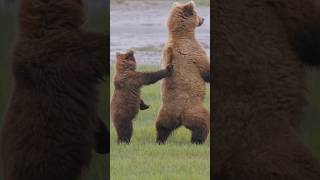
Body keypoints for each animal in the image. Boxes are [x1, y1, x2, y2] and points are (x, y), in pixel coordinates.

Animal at [155, 0, 210, 144]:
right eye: (197, 13)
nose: (203, 19)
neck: (182, 34)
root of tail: (179, 116)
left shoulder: (166, 52)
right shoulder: (194, 51)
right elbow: (206, 70)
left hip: (165, 111)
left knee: (162, 126)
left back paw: (160, 140)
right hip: (194, 108)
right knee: (202, 123)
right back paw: (198, 140)